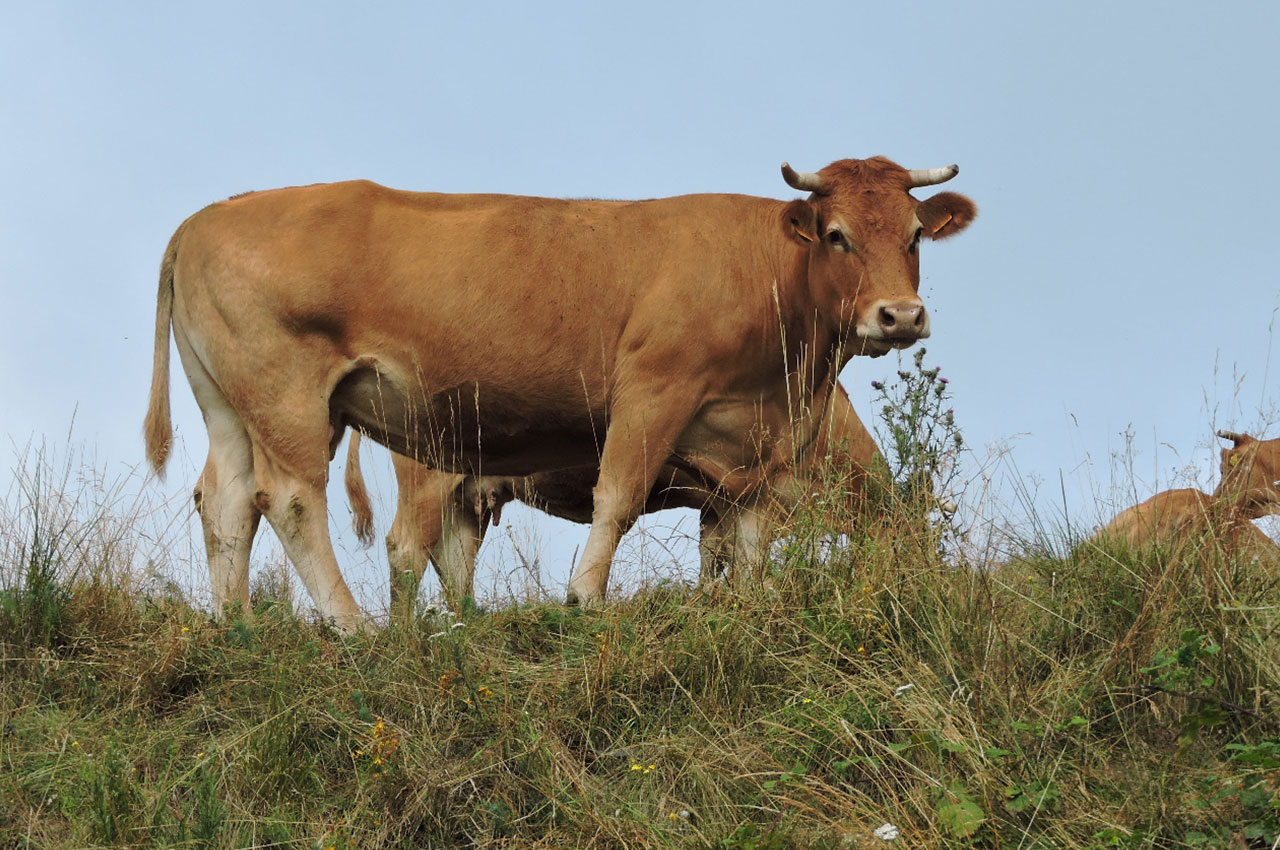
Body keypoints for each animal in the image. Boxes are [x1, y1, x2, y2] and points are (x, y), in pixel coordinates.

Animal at [145, 156, 972, 629]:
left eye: (915, 235)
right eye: (836, 234)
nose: (900, 316)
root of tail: (208, 215)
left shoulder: (755, 449)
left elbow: (743, 541)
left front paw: (739, 608)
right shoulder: (654, 388)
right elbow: (619, 498)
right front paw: (584, 599)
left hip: (231, 402)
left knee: (227, 499)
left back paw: (235, 628)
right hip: (294, 396)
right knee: (300, 504)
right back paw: (353, 626)